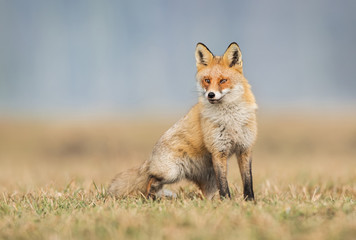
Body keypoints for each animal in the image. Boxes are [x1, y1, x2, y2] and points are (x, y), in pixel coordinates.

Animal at [107, 42, 258, 201]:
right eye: (207, 80)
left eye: (223, 81)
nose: (210, 95)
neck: (231, 118)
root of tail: (150, 159)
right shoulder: (218, 151)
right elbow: (224, 185)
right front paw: (226, 202)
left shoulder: (245, 148)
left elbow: (248, 181)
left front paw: (250, 201)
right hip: (171, 173)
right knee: (151, 180)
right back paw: (150, 198)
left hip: (209, 181)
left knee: (203, 195)